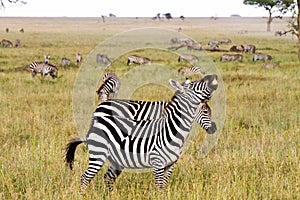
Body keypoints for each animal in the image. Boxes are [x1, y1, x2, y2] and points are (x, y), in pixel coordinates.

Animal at [65, 74, 218, 193]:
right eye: (205, 111)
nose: (214, 129)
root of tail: (101, 106)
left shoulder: (170, 164)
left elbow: (164, 186)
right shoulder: (158, 162)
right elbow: (160, 187)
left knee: (108, 178)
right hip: (99, 155)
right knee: (86, 177)